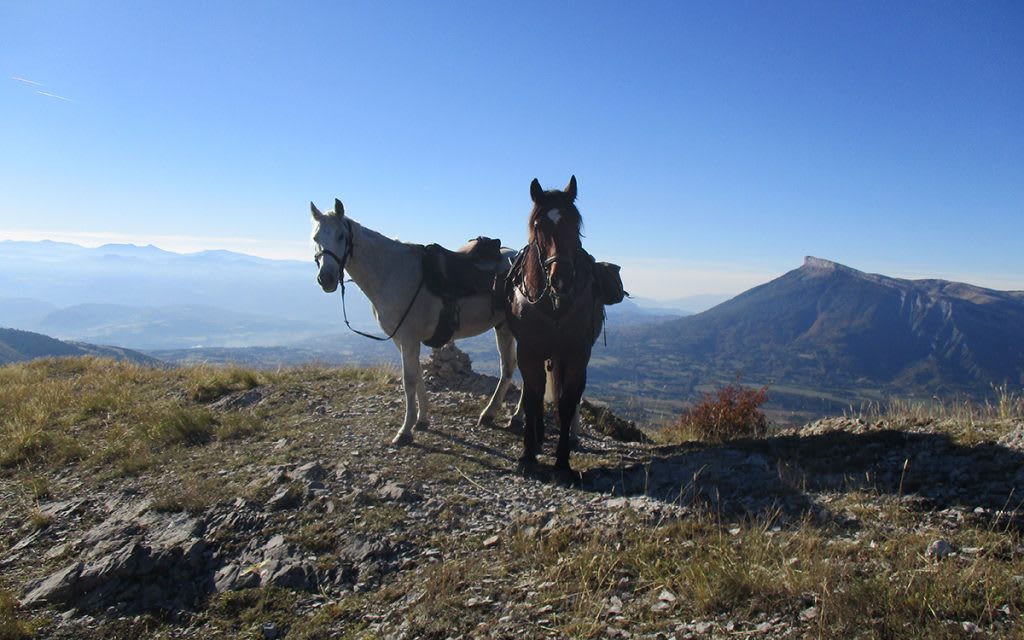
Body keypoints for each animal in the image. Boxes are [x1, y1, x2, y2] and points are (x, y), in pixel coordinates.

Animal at [309, 199, 520, 444]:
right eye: (315, 238)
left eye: (341, 236)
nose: (326, 279)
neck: (391, 272)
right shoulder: (401, 340)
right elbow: (418, 375)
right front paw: (422, 420)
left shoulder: (409, 338)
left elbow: (408, 381)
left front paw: (405, 430)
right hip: (503, 327)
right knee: (508, 367)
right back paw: (491, 414)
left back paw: (516, 417)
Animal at [505, 177, 602, 477]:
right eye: (539, 225)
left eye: (576, 223)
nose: (562, 279)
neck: (554, 303)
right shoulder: (528, 352)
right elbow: (532, 397)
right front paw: (528, 453)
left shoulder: (577, 355)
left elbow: (567, 402)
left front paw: (562, 461)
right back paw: (537, 437)